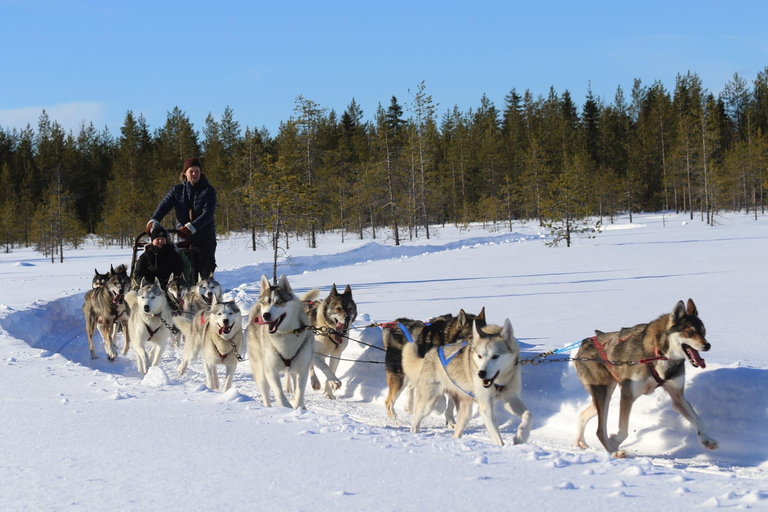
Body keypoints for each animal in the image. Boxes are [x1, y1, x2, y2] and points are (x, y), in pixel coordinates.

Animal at [249, 274, 316, 410]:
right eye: (265, 303)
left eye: (279, 302)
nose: (265, 315)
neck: (285, 334)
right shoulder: (270, 371)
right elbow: (279, 393)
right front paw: (286, 406)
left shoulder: (302, 370)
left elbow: (299, 393)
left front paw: (298, 407)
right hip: (261, 371)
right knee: (266, 395)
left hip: (294, 369)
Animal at [412, 318, 532, 446]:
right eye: (479, 356)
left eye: (495, 356)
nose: (481, 373)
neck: (499, 381)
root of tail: (431, 352)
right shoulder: (486, 406)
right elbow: (497, 437)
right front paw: (502, 447)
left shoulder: (511, 398)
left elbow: (528, 414)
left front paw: (521, 436)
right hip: (428, 403)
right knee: (415, 421)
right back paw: (414, 435)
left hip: (466, 412)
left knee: (457, 431)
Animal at [572, 298, 716, 458]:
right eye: (690, 332)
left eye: (703, 331)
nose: (707, 345)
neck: (659, 353)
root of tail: (585, 342)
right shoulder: (627, 395)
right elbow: (624, 431)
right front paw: (614, 441)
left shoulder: (677, 397)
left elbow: (698, 419)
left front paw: (707, 439)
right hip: (603, 393)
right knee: (599, 430)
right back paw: (614, 451)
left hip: (605, 396)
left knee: (583, 414)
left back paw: (580, 441)